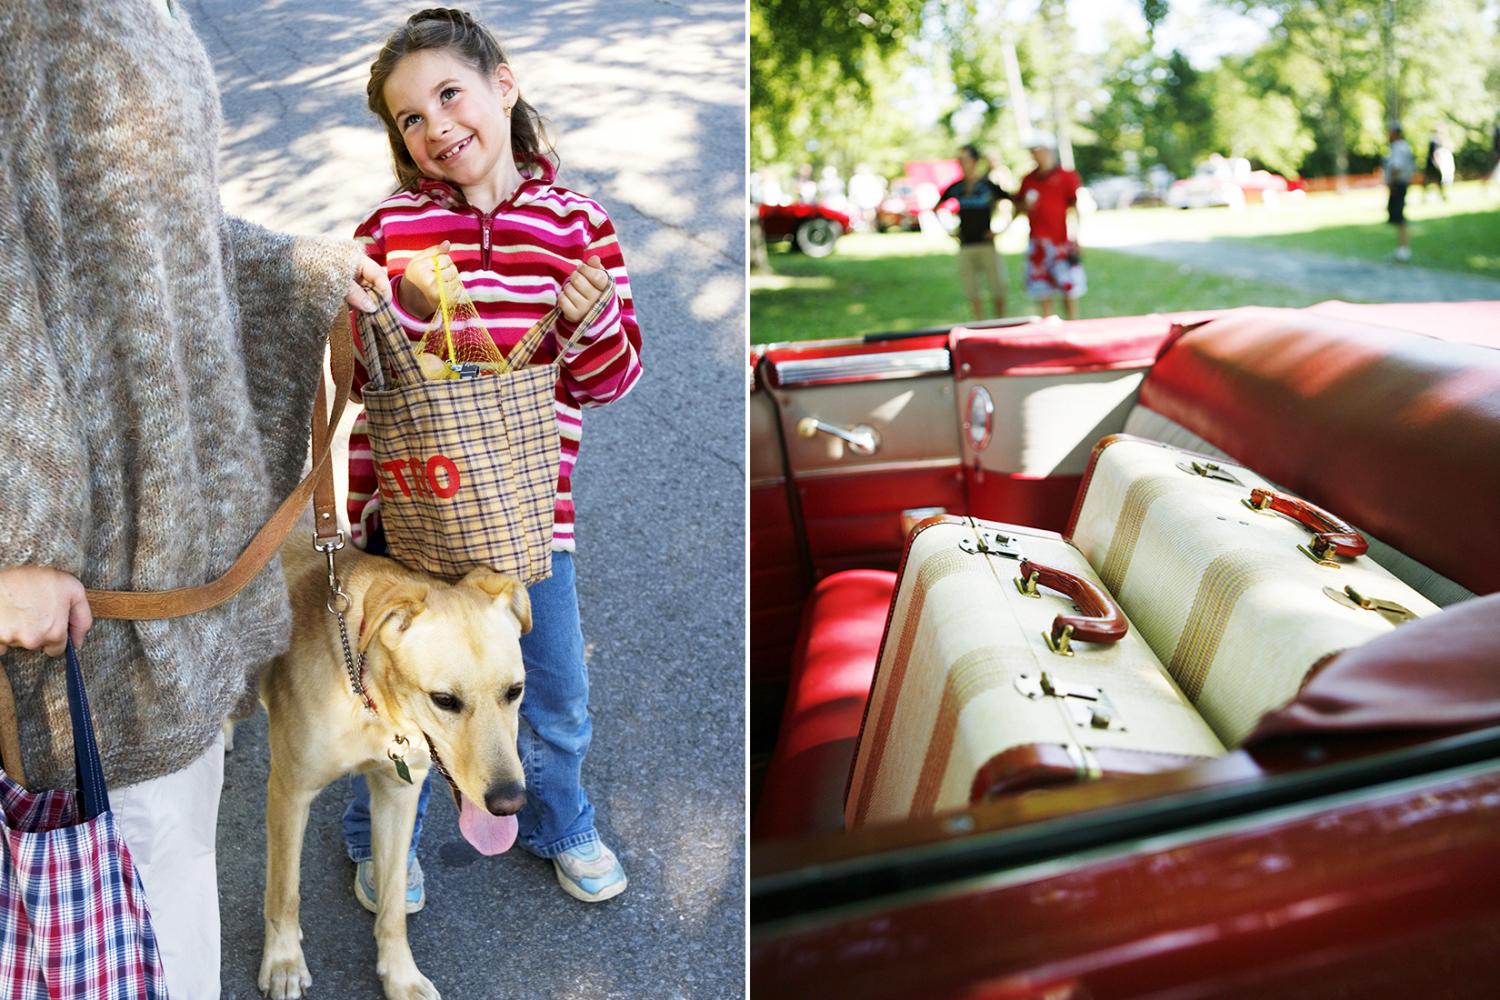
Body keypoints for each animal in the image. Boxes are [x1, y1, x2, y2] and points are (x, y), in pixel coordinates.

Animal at [259, 539, 534, 1000]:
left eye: (514, 691)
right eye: (444, 700)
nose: (509, 802)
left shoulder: (398, 795)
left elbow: (392, 909)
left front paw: (401, 976)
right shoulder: (289, 792)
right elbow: (284, 892)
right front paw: (283, 960)